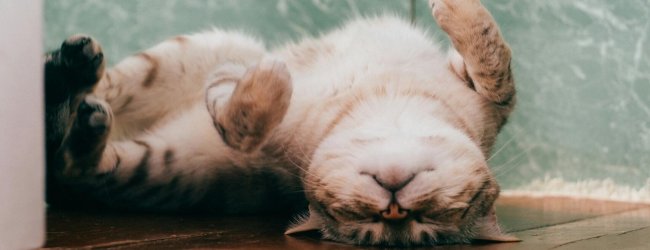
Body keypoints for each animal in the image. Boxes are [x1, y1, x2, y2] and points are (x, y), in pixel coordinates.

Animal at [44, 0, 516, 246]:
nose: (394, 207)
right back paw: (72, 66)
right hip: (196, 51)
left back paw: (79, 107)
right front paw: (461, 11)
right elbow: (497, 67)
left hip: (152, 167)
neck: (387, 99)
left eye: (434, 218)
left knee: (69, 159)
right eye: (356, 213)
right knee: (99, 88)